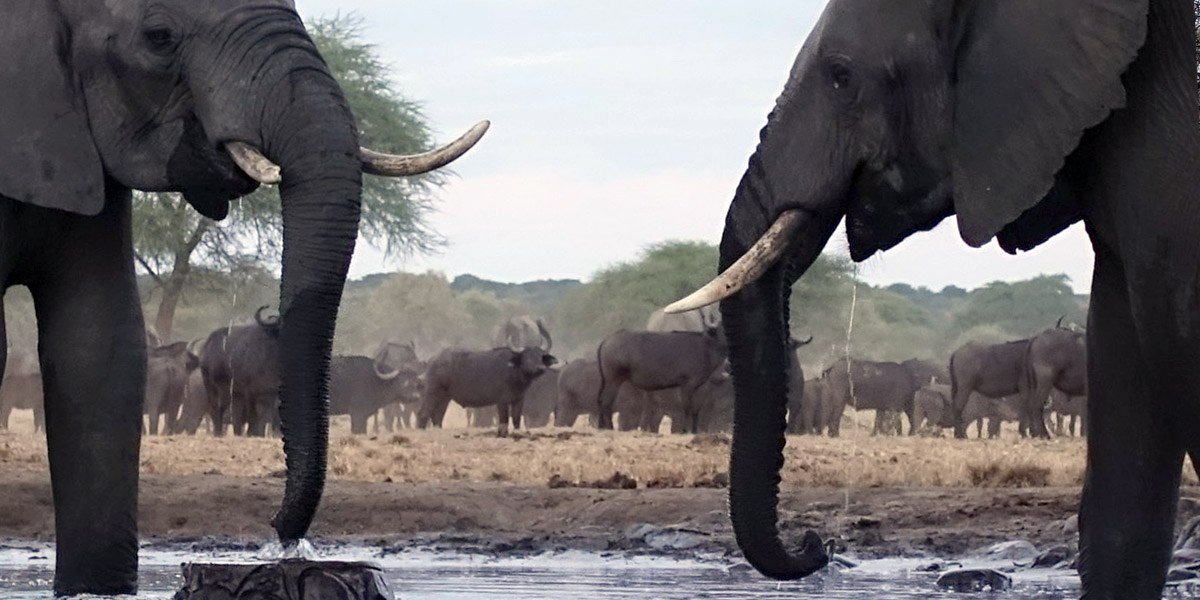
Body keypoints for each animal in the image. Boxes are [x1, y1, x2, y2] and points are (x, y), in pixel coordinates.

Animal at [418, 322, 557, 437]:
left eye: (541, 357)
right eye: (527, 357)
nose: (540, 368)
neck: (514, 372)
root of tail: (433, 360)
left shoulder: (519, 400)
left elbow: (516, 419)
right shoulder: (502, 401)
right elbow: (504, 419)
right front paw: (502, 434)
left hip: (445, 397)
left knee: (438, 416)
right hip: (432, 392)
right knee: (423, 413)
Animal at [595, 327, 728, 433]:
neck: (706, 347)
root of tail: (606, 341)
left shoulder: (699, 387)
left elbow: (696, 409)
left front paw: (694, 430)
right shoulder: (688, 385)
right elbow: (686, 406)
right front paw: (685, 430)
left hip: (606, 381)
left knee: (600, 399)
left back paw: (601, 426)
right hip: (613, 380)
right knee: (606, 400)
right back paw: (609, 427)